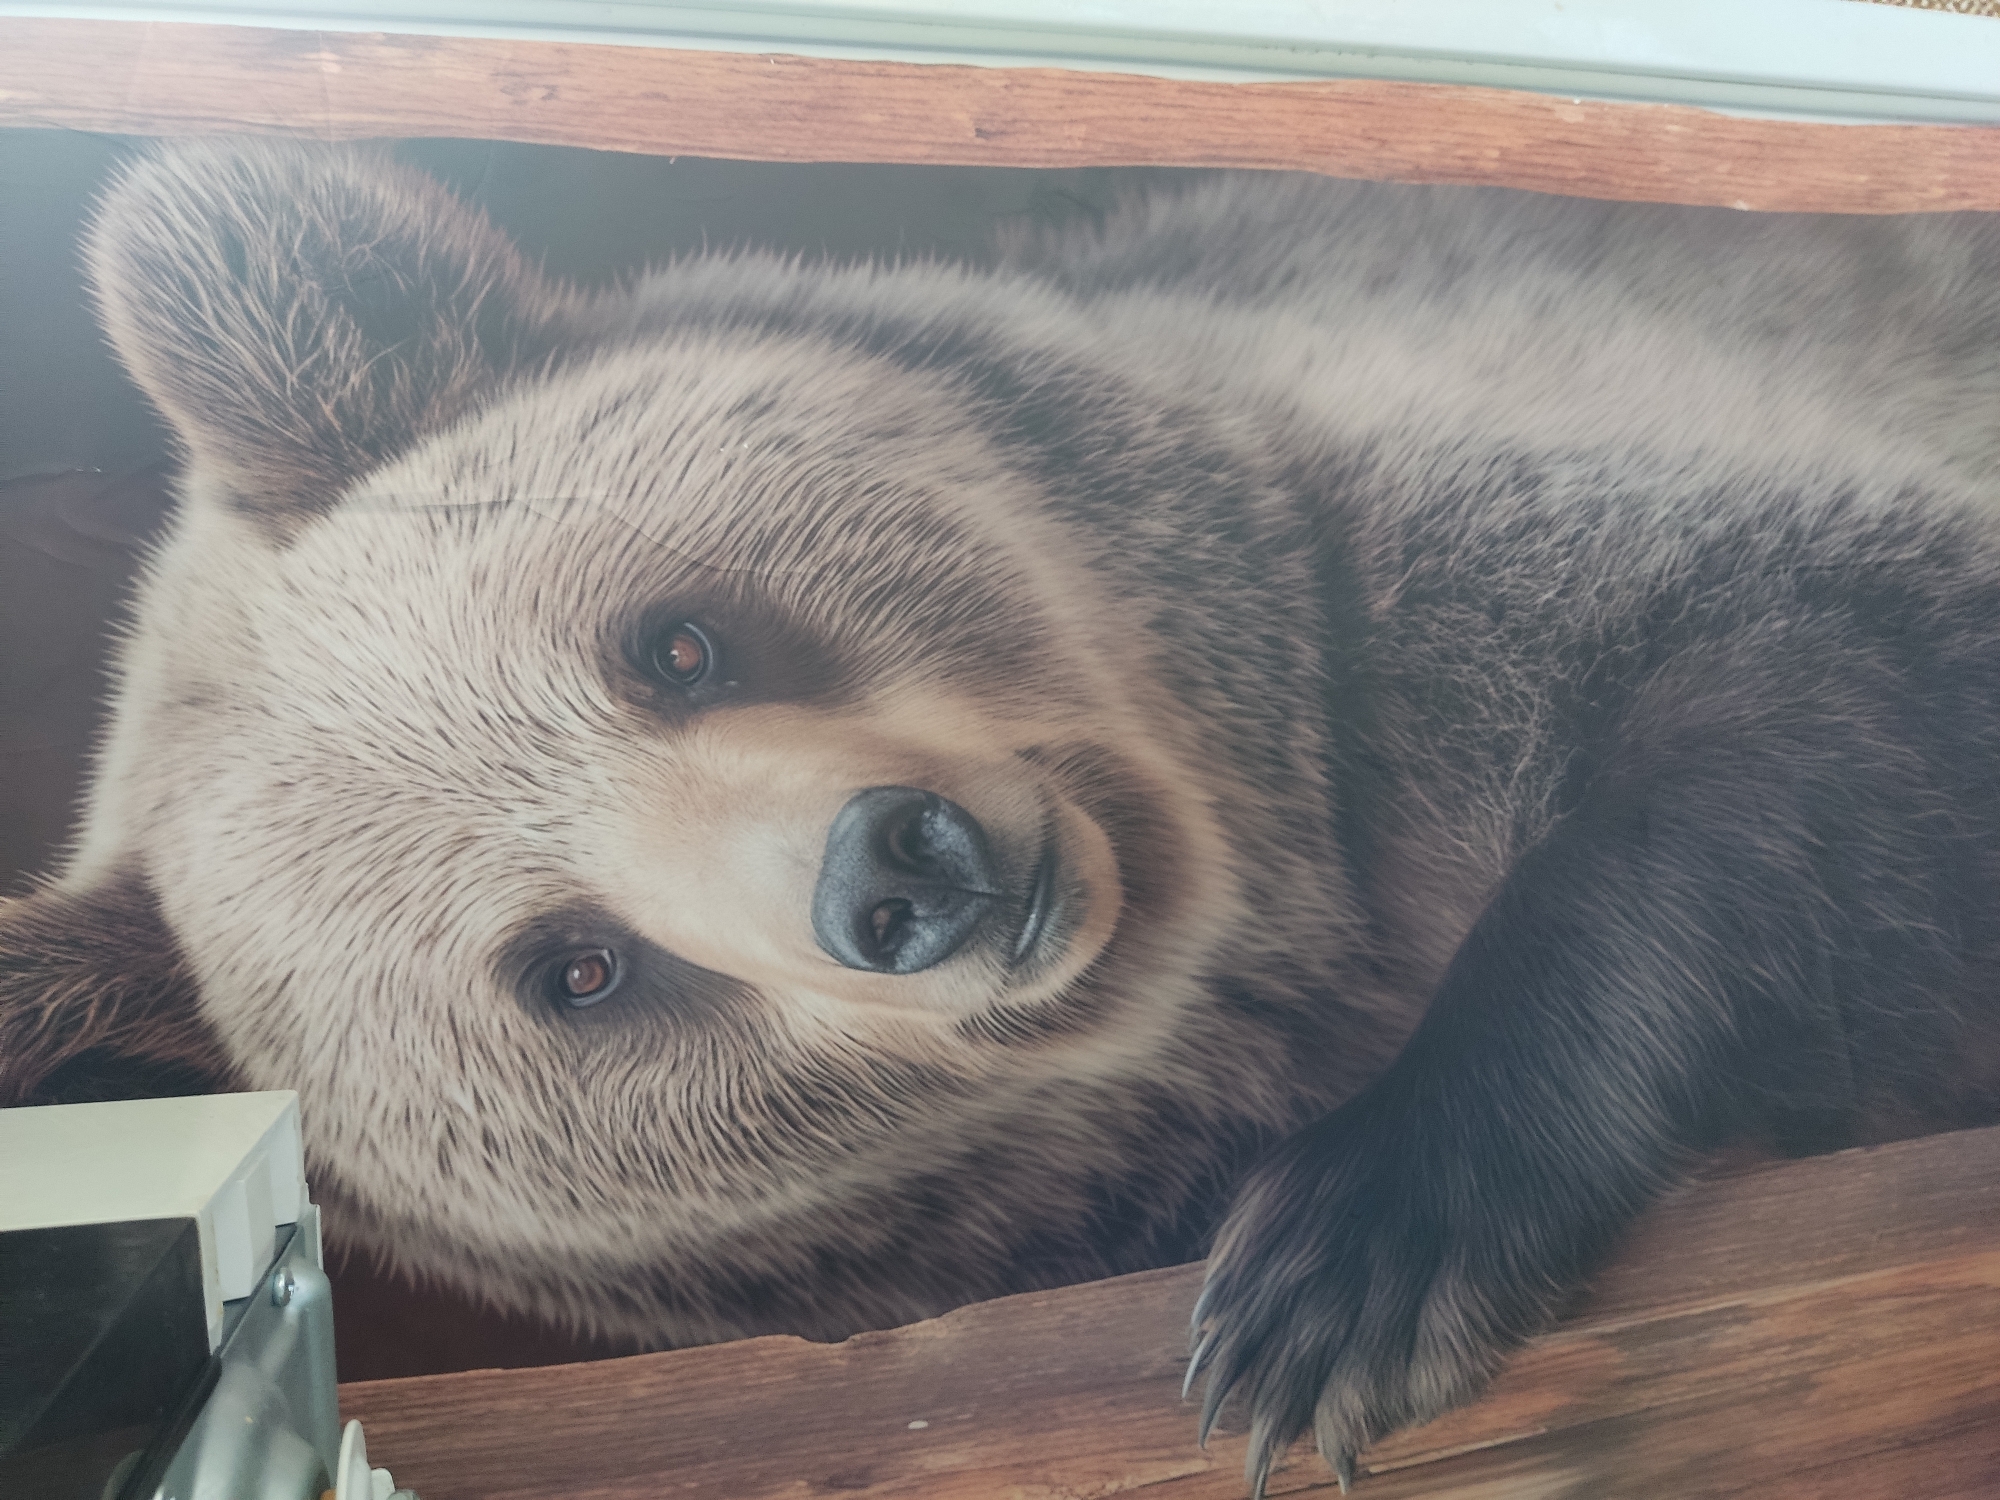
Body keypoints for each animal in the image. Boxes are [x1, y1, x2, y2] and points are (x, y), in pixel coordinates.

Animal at [4, 139, 2000, 1494]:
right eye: (573, 972)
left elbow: (1826, 696)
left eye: (671, 639)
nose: (898, 877)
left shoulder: (1462, 519)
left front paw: (1347, 1262)